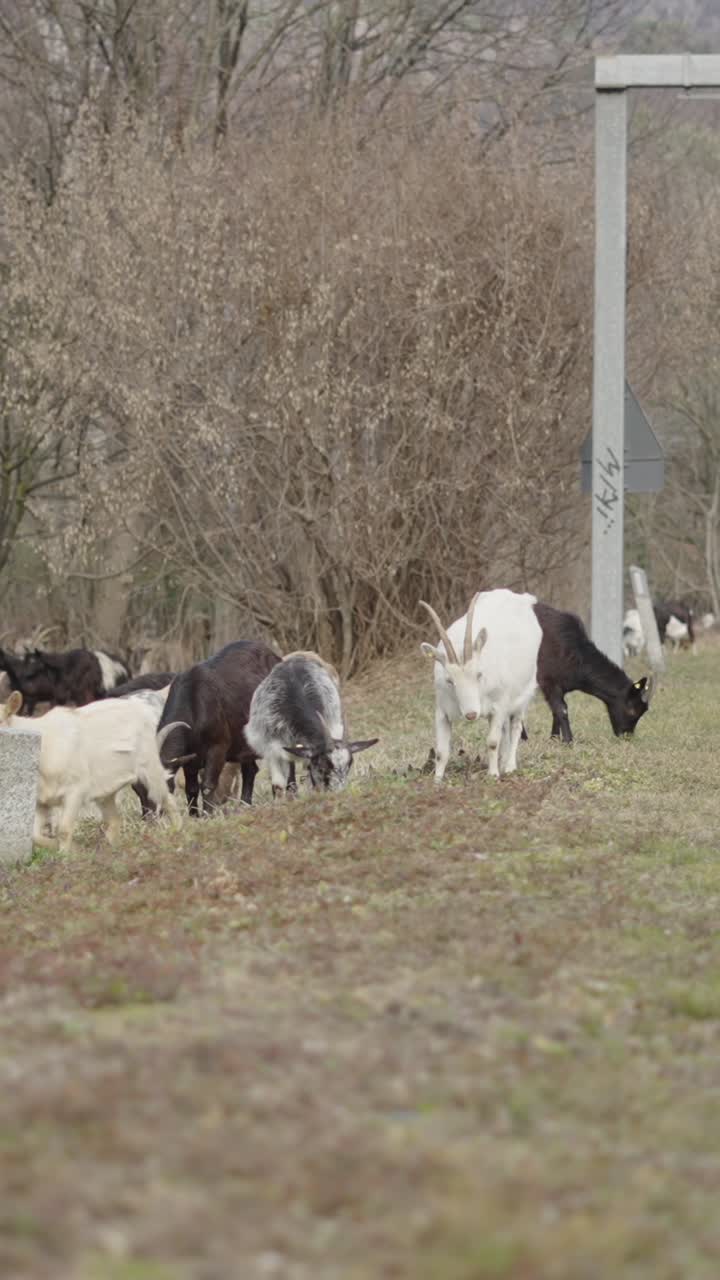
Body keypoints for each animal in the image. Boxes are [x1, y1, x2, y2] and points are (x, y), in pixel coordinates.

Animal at [0, 690, 182, 851]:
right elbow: (34, 836)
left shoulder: (76, 790)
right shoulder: (41, 801)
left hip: (150, 769)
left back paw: (177, 833)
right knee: (114, 820)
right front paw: (71, 849)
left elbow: (64, 830)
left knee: (166, 799)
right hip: (106, 790)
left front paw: (66, 856)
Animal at [156, 641, 281, 814]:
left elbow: (207, 785)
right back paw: (244, 804)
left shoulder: (217, 749)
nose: (149, 814)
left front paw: (207, 814)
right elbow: (191, 789)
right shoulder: (190, 761)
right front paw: (194, 815)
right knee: (250, 770)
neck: (194, 704)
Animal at [420, 589, 541, 780]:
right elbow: (441, 751)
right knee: (505, 729)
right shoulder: (442, 710)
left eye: (479, 674)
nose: (471, 714)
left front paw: (493, 775)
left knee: (515, 726)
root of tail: (523, 599)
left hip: (525, 692)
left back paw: (509, 766)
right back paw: (503, 761)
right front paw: (437, 779)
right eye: (449, 680)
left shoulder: (499, 705)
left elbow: (492, 741)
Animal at [534, 603, 653, 742]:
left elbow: (555, 711)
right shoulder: (547, 680)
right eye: (632, 711)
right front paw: (568, 741)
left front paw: (554, 739)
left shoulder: (561, 686)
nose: (626, 736)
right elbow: (561, 709)